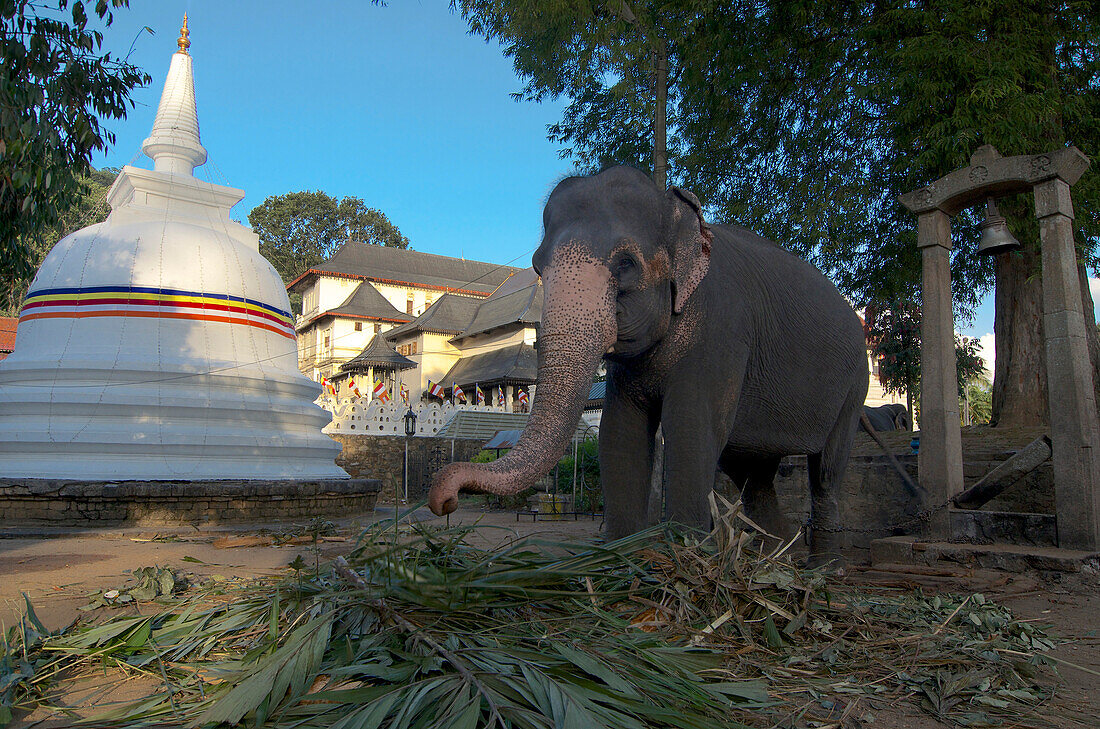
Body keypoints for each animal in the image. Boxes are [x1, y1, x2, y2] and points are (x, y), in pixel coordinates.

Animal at [424, 167, 871, 562]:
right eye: (536, 266)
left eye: (625, 264)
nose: (444, 501)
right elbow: (619, 432)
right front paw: (620, 557)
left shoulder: (722, 333)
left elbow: (690, 427)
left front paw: (685, 556)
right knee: (752, 474)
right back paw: (779, 558)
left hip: (854, 386)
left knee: (826, 473)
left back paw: (822, 571)